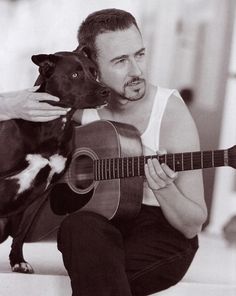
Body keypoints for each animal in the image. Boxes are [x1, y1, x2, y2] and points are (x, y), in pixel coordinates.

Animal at [0, 49, 110, 272]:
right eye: (75, 75)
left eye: (94, 72)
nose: (106, 91)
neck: (54, 126)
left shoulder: (40, 193)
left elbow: (21, 233)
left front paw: (18, 261)